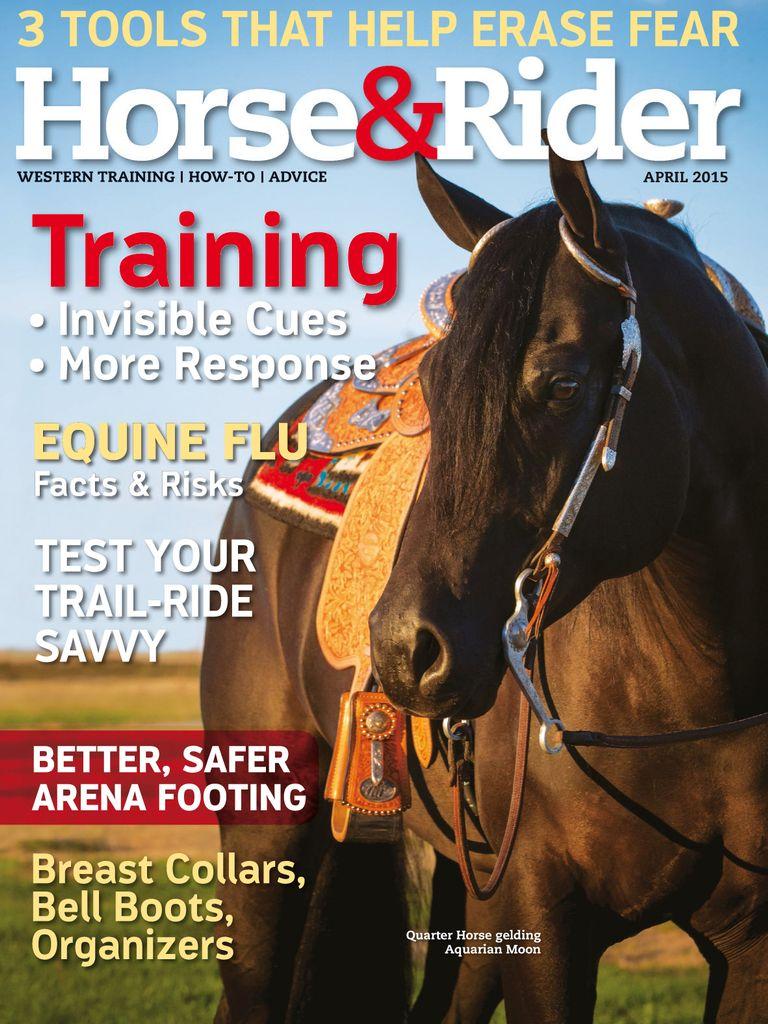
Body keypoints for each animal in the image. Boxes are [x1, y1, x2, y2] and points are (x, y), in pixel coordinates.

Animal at [201, 147, 768, 1023]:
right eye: (434, 390)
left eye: (563, 385)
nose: (403, 650)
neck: (696, 691)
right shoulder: (542, 914)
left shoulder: (748, 944)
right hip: (266, 833)